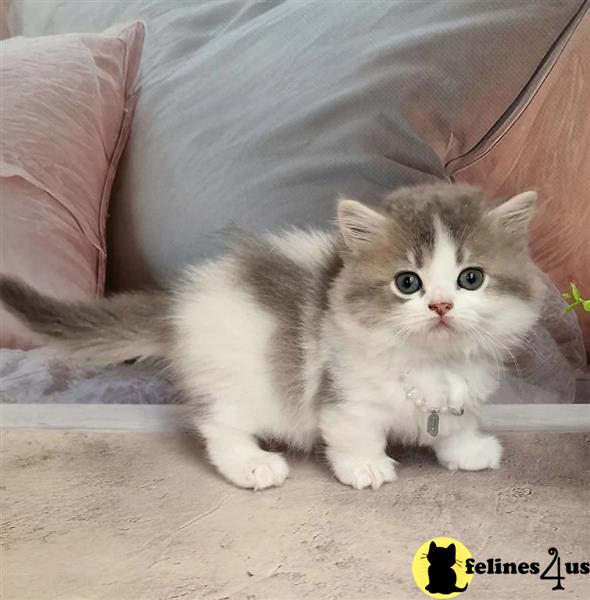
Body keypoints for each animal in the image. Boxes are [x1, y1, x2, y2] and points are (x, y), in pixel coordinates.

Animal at [0, 185, 544, 490]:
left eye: (470, 278)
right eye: (407, 283)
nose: (441, 306)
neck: (433, 361)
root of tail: (181, 304)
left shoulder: (462, 394)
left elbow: (454, 425)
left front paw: (466, 452)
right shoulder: (344, 394)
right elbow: (355, 433)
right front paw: (366, 468)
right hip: (239, 381)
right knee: (217, 425)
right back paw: (252, 465)